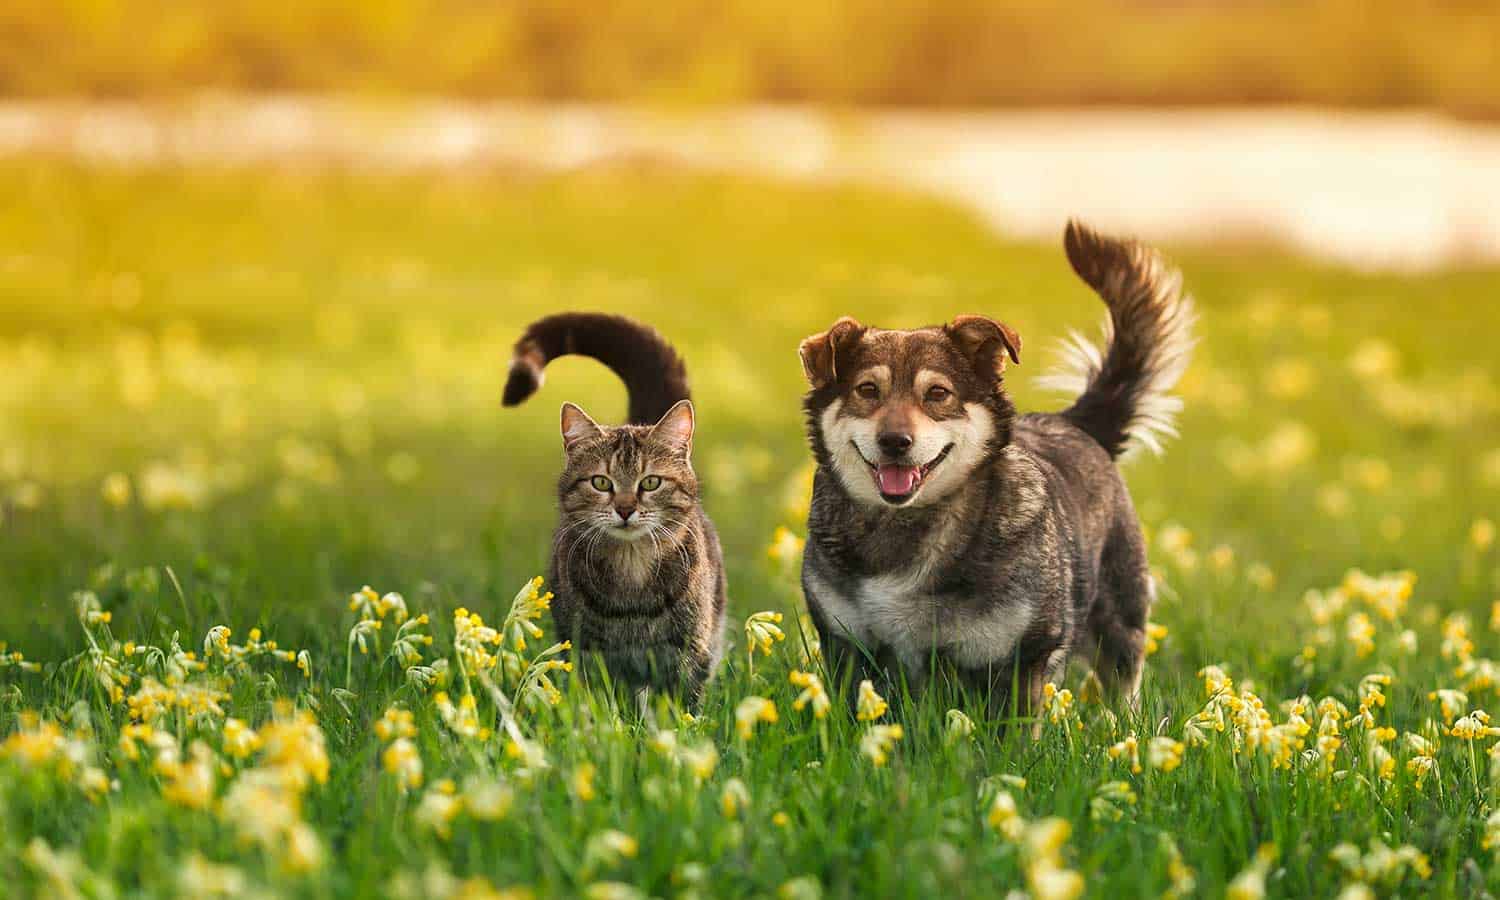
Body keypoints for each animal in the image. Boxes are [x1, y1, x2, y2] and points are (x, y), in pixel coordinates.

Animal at [504, 313, 726, 708]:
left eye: (650, 482)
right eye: (601, 482)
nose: (625, 509)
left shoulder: (690, 651)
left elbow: (683, 706)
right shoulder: (586, 651)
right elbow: (596, 704)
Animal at [798, 219, 1194, 717]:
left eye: (938, 393)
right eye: (867, 390)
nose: (895, 442)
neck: (905, 527)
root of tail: (1075, 422)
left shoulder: (1020, 658)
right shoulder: (847, 646)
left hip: (1120, 622)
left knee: (1123, 684)